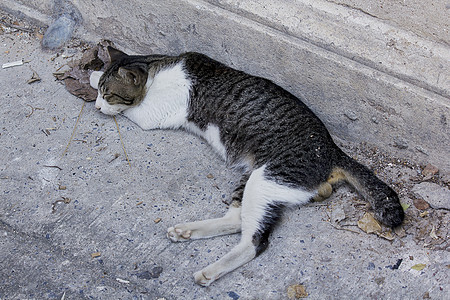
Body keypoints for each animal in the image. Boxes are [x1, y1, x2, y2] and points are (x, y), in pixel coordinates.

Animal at [89, 47, 404, 286]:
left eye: (109, 95)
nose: (97, 107)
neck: (156, 68)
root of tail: (333, 151)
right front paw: (93, 74)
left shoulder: (153, 114)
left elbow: (132, 110)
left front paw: (92, 77)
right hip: (253, 179)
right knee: (236, 220)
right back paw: (187, 231)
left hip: (266, 178)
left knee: (255, 241)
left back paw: (210, 271)